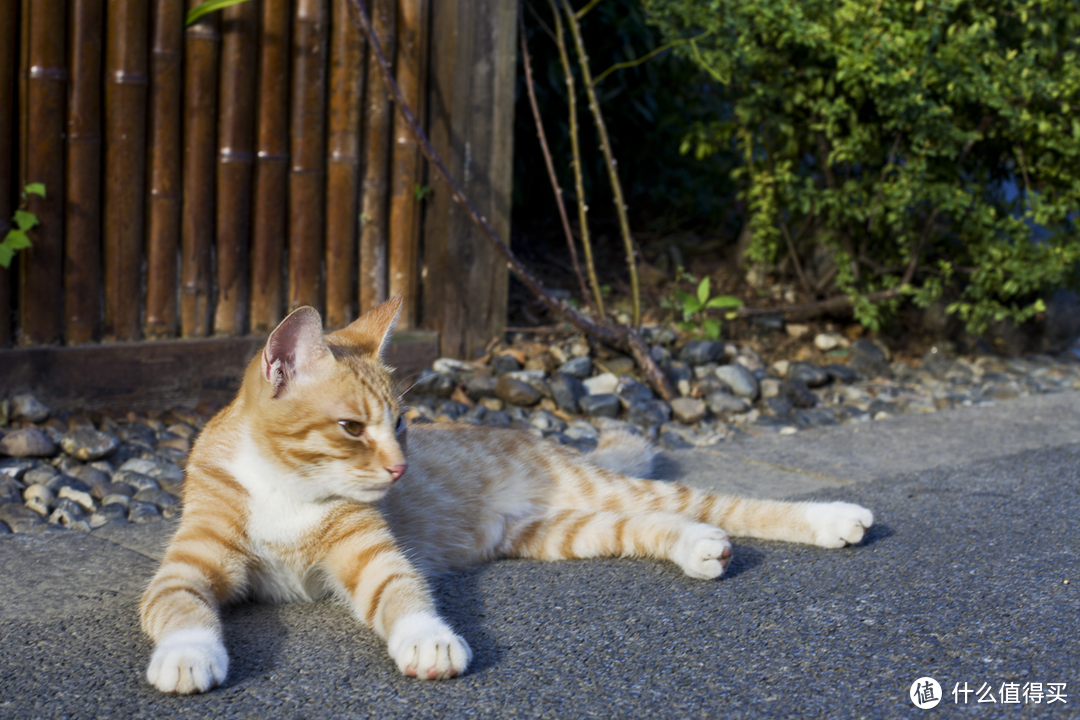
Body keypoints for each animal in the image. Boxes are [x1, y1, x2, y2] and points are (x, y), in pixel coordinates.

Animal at [139, 295, 872, 695]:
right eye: (352, 429)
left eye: (402, 425)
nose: (401, 470)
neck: (285, 485)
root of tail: (542, 445)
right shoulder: (185, 569)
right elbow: (181, 609)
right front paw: (188, 656)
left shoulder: (369, 554)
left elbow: (401, 592)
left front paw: (427, 640)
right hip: (563, 531)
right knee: (653, 519)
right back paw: (699, 549)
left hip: (594, 493)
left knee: (715, 503)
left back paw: (834, 517)